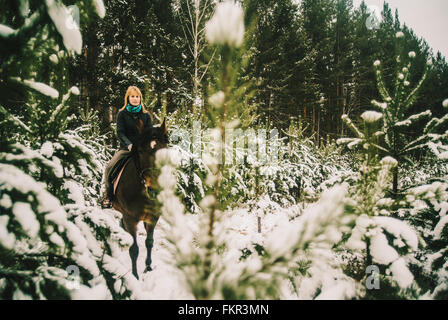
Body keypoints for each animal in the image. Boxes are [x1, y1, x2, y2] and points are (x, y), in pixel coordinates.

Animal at [111, 119, 169, 278]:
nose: (154, 188)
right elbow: (134, 249)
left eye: (164, 150)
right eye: (141, 151)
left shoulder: (153, 217)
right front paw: (135, 276)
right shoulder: (130, 219)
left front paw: (148, 267)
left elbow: (149, 242)